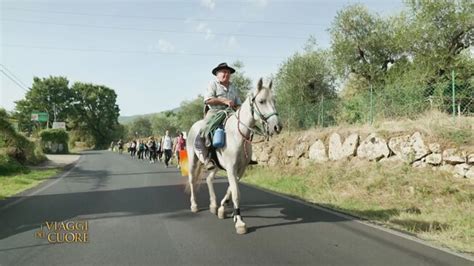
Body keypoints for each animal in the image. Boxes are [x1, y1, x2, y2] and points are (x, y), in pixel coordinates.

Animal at [185, 78, 282, 234]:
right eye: (261, 101)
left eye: (274, 100)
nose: (277, 127)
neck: (238, 135)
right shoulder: (231, 168)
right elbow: (236, 193)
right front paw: (240, 222)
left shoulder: (240, 169)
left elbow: (231, 189)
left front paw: (222, 208)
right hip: (193, 160)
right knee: (192, 180)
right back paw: (194, 205)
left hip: (215, 166)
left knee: (209, 179)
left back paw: (213, 205)